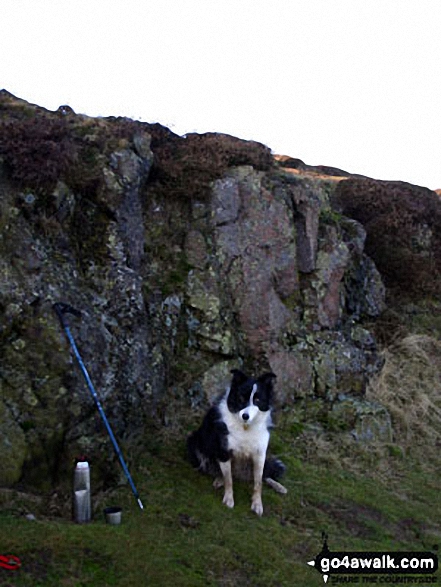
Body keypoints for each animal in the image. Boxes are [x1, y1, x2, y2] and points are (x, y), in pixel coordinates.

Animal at [187, 370, 288, 516]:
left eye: (257, 400)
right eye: (241, 398)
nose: (245, 416)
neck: (245, 426)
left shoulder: (260, 454)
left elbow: (258, 482)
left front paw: (257, 504)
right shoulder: (224, 452)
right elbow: (229, 479)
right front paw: (228, 499)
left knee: (266, 475)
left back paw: (279, 486)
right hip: (193, 442)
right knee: (221, 472)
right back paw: (219, 480)